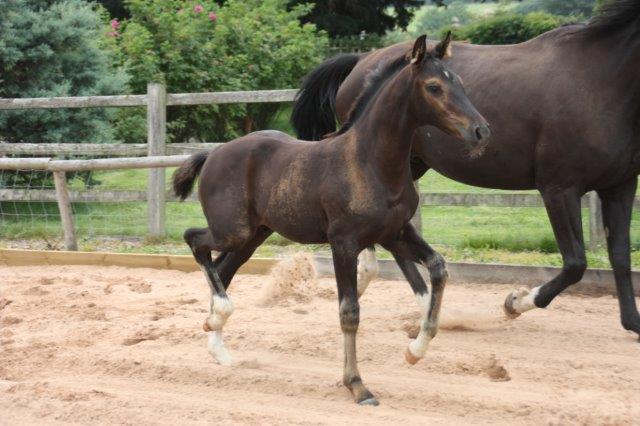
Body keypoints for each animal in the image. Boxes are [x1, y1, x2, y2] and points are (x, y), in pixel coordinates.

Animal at [172, 34, 488, 406]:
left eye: (461, 83)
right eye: (434, 86)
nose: (481, 130)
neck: (371, 162)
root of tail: (213, 153)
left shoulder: (395, 232)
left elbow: (438, 267)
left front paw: (415, 350)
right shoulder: (344, 243)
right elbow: (349, 312)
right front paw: (357, 385)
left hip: (253, 235)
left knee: (222, 269)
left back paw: (218, 344)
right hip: (233, 230)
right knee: (194, 239)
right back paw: (219, 315)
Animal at [292, 0, 640, 340]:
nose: (481, 131)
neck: (597, 80)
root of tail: (361, 60)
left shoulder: (620, 187)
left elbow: (620, 255)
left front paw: (633, 323)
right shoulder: (559, 188)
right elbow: (575, 263)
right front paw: (514, 302)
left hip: (407, 167)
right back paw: (422, 306)